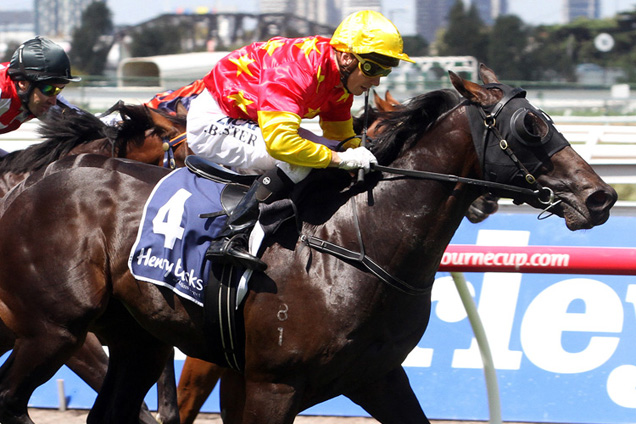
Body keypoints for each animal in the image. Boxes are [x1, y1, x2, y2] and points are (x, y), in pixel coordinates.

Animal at [0, 64, 616, 422]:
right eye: (530, 128)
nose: (601, 197)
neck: (357, 245)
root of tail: (31, 183)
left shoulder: (378, 377)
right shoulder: (269, 384)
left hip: (135, 341)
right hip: (55, 330)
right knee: (12, 400)